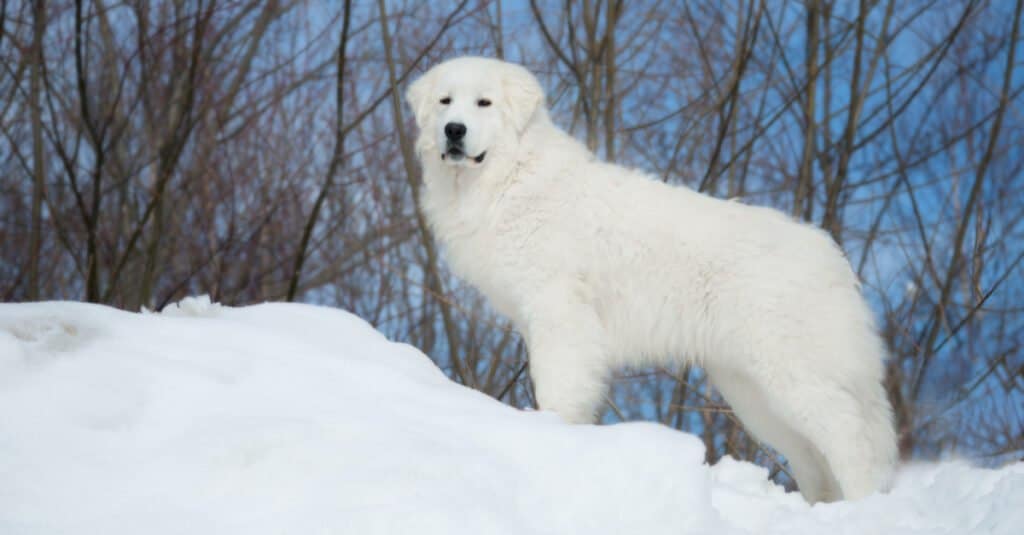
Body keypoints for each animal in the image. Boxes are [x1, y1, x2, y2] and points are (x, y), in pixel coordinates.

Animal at [407, 56, 897, 502]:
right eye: (445, 101)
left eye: (484, 103)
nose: (454, 130)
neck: (509, 178)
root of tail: (831, 256)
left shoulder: (560, 316)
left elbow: (559, 389)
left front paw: (553, 433)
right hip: (753, 394)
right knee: (814, 461)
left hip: (792, 377)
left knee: (850, 439)